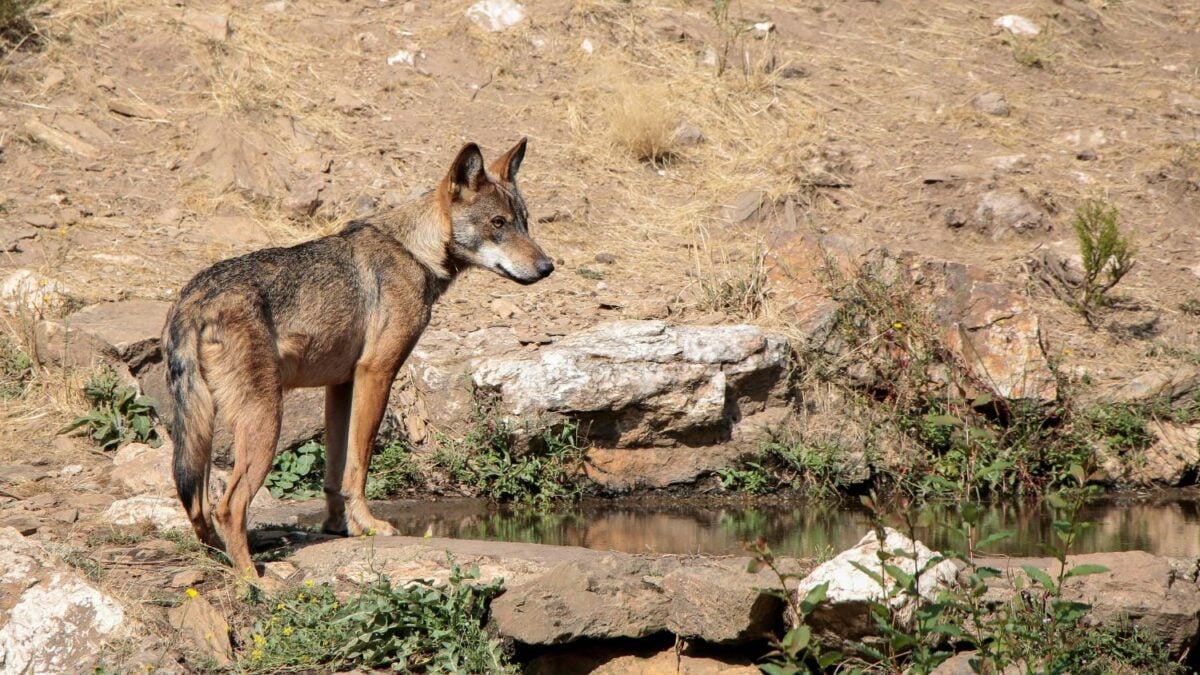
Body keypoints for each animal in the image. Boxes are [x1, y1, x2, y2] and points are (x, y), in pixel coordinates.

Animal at [163, 139, 553, 578]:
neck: (415, 251)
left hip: (203, 428)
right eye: (498, 223)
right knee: (227, 506)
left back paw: (221, 559)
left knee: (197, 505)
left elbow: (334, 473)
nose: (548, 267)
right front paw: (369, 525)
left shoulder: (341, 385)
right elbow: (358, 467)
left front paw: (340, 527)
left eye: (524, 222)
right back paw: (256, 581)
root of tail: (194, 299)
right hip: (264, 422)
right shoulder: (377, 373)